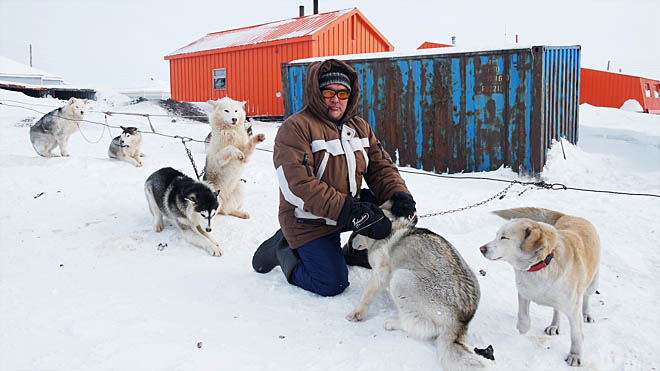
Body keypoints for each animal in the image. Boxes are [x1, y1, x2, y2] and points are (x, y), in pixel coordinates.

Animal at [348, 203, 492, 371]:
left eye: (357, 231)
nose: (350, 242)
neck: (389, 229)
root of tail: (461, 321)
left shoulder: (380, 272)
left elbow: (367, 296)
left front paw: (357, 314)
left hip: (401, 278)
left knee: (421, 327)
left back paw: (393, 323)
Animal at [480, 208, 604, 368]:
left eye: (504, 238)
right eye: (497, 235)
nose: (482, 248)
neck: (541, 264)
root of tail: (572, 216)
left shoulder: (573, 309)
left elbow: (576, 335)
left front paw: (575, 356)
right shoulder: (524, 292)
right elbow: (523, 317)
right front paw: (522, 329)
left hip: (592, 282)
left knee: (587, 296)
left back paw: (587, 314)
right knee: (557, 310)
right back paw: (554, 325)